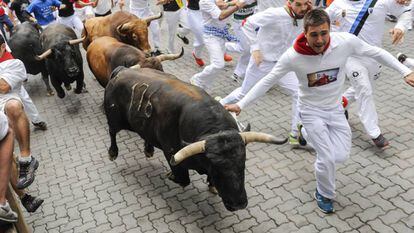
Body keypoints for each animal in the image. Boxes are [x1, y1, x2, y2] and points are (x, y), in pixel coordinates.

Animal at [103, 67, 288, 211]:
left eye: (243, 163)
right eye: (216, 167)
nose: (238, 204)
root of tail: (122, 70)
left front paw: (212, 186)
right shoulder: (172, 154)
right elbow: (183, 179)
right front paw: (170, 175)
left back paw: (148, 149)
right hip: (113, 118)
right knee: (112, 132)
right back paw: (113, 153)